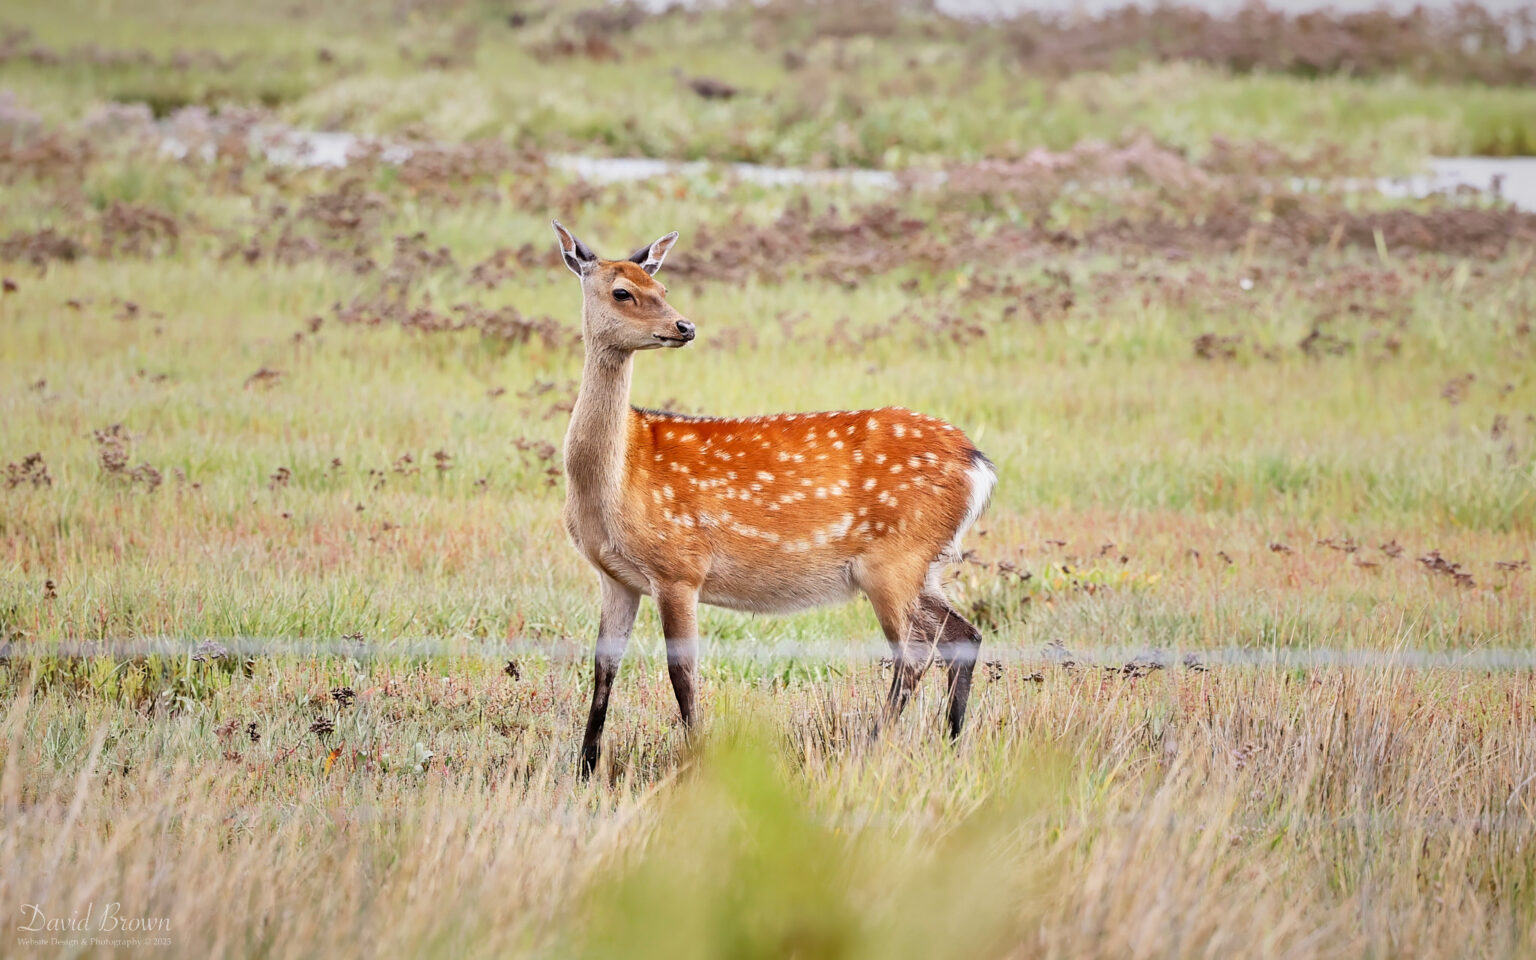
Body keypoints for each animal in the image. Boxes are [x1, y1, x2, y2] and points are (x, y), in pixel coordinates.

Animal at [552, 221, 997, 778]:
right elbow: (603, 668)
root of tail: (978, 465)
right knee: (963, 635)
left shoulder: (679, 566)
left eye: (663, 286)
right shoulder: (617, 576)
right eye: (622, 291)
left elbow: (682, 674)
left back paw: (867, 749)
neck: (613, 483)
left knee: (914, 653)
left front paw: (699, 763)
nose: (684, 326)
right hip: (925, 563)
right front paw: (585, 769)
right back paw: (952, 744)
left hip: (895, 557)